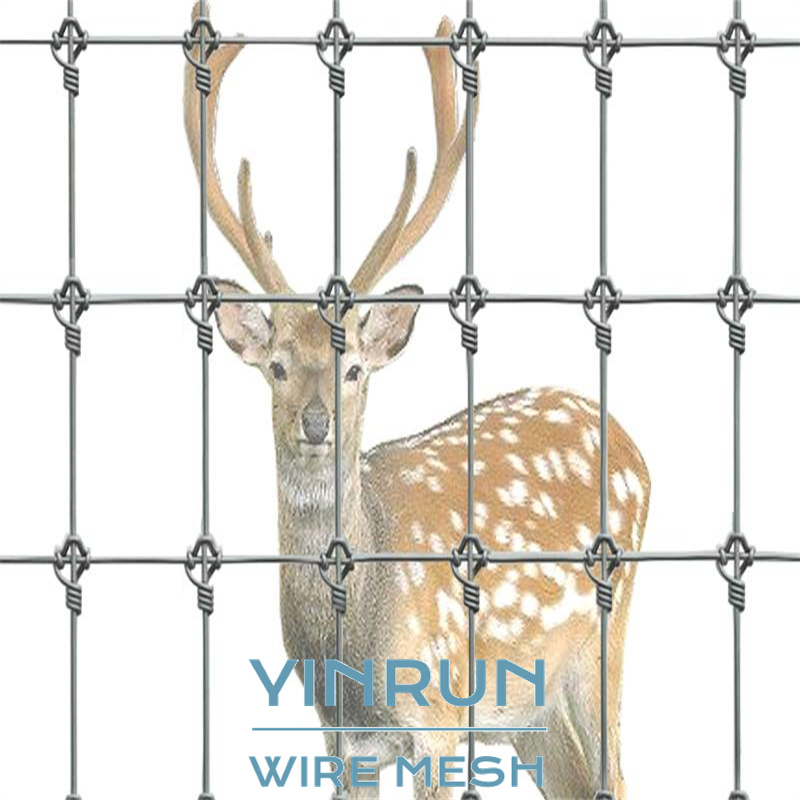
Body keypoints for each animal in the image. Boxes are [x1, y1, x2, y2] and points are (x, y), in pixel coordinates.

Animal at [185, 6, 650, 799]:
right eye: (277, 367)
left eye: (353, 370)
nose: (316, 423)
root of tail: (631, 443)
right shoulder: (344, 744)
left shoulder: (438, 718)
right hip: (534, 713)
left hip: (604, 639)